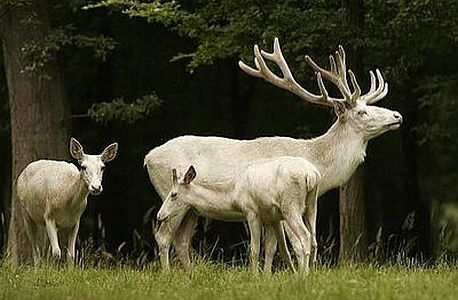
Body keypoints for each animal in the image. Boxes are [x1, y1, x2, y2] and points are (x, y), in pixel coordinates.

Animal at [156, 157, 320, 272]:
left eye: (174, 194)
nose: (159, 215)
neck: (234, 195)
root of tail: (312, 175)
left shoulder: (251, 211)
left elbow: (254, 249)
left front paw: (255, 277)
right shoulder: (272, 217)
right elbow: (273, 249)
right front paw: (268, 277)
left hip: (291, 206)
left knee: (305, 235)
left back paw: (304, 275)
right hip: (311, 205)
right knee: (313, 239)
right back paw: (310, 273)